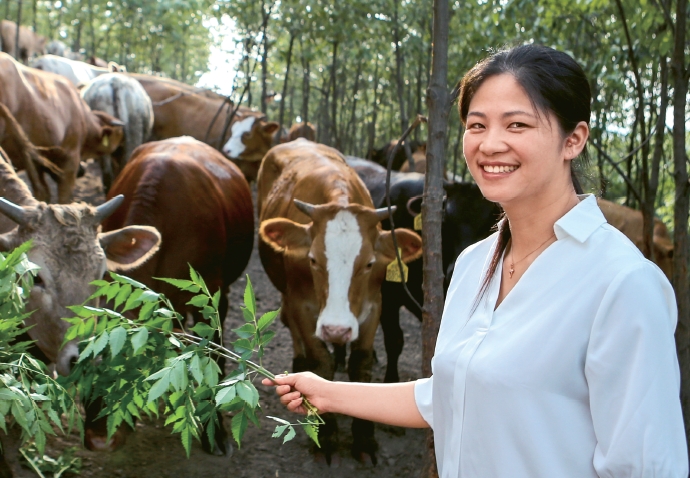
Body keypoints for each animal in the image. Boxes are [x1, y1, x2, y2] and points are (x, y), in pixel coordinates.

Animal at [256, 138, 422, 464]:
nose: (336, 329)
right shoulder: (303, 305)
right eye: (312, 260)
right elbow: (320, 362)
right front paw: (326, 436)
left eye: (369, 264)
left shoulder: (374, 305)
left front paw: (365, 440)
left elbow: (362, 364)